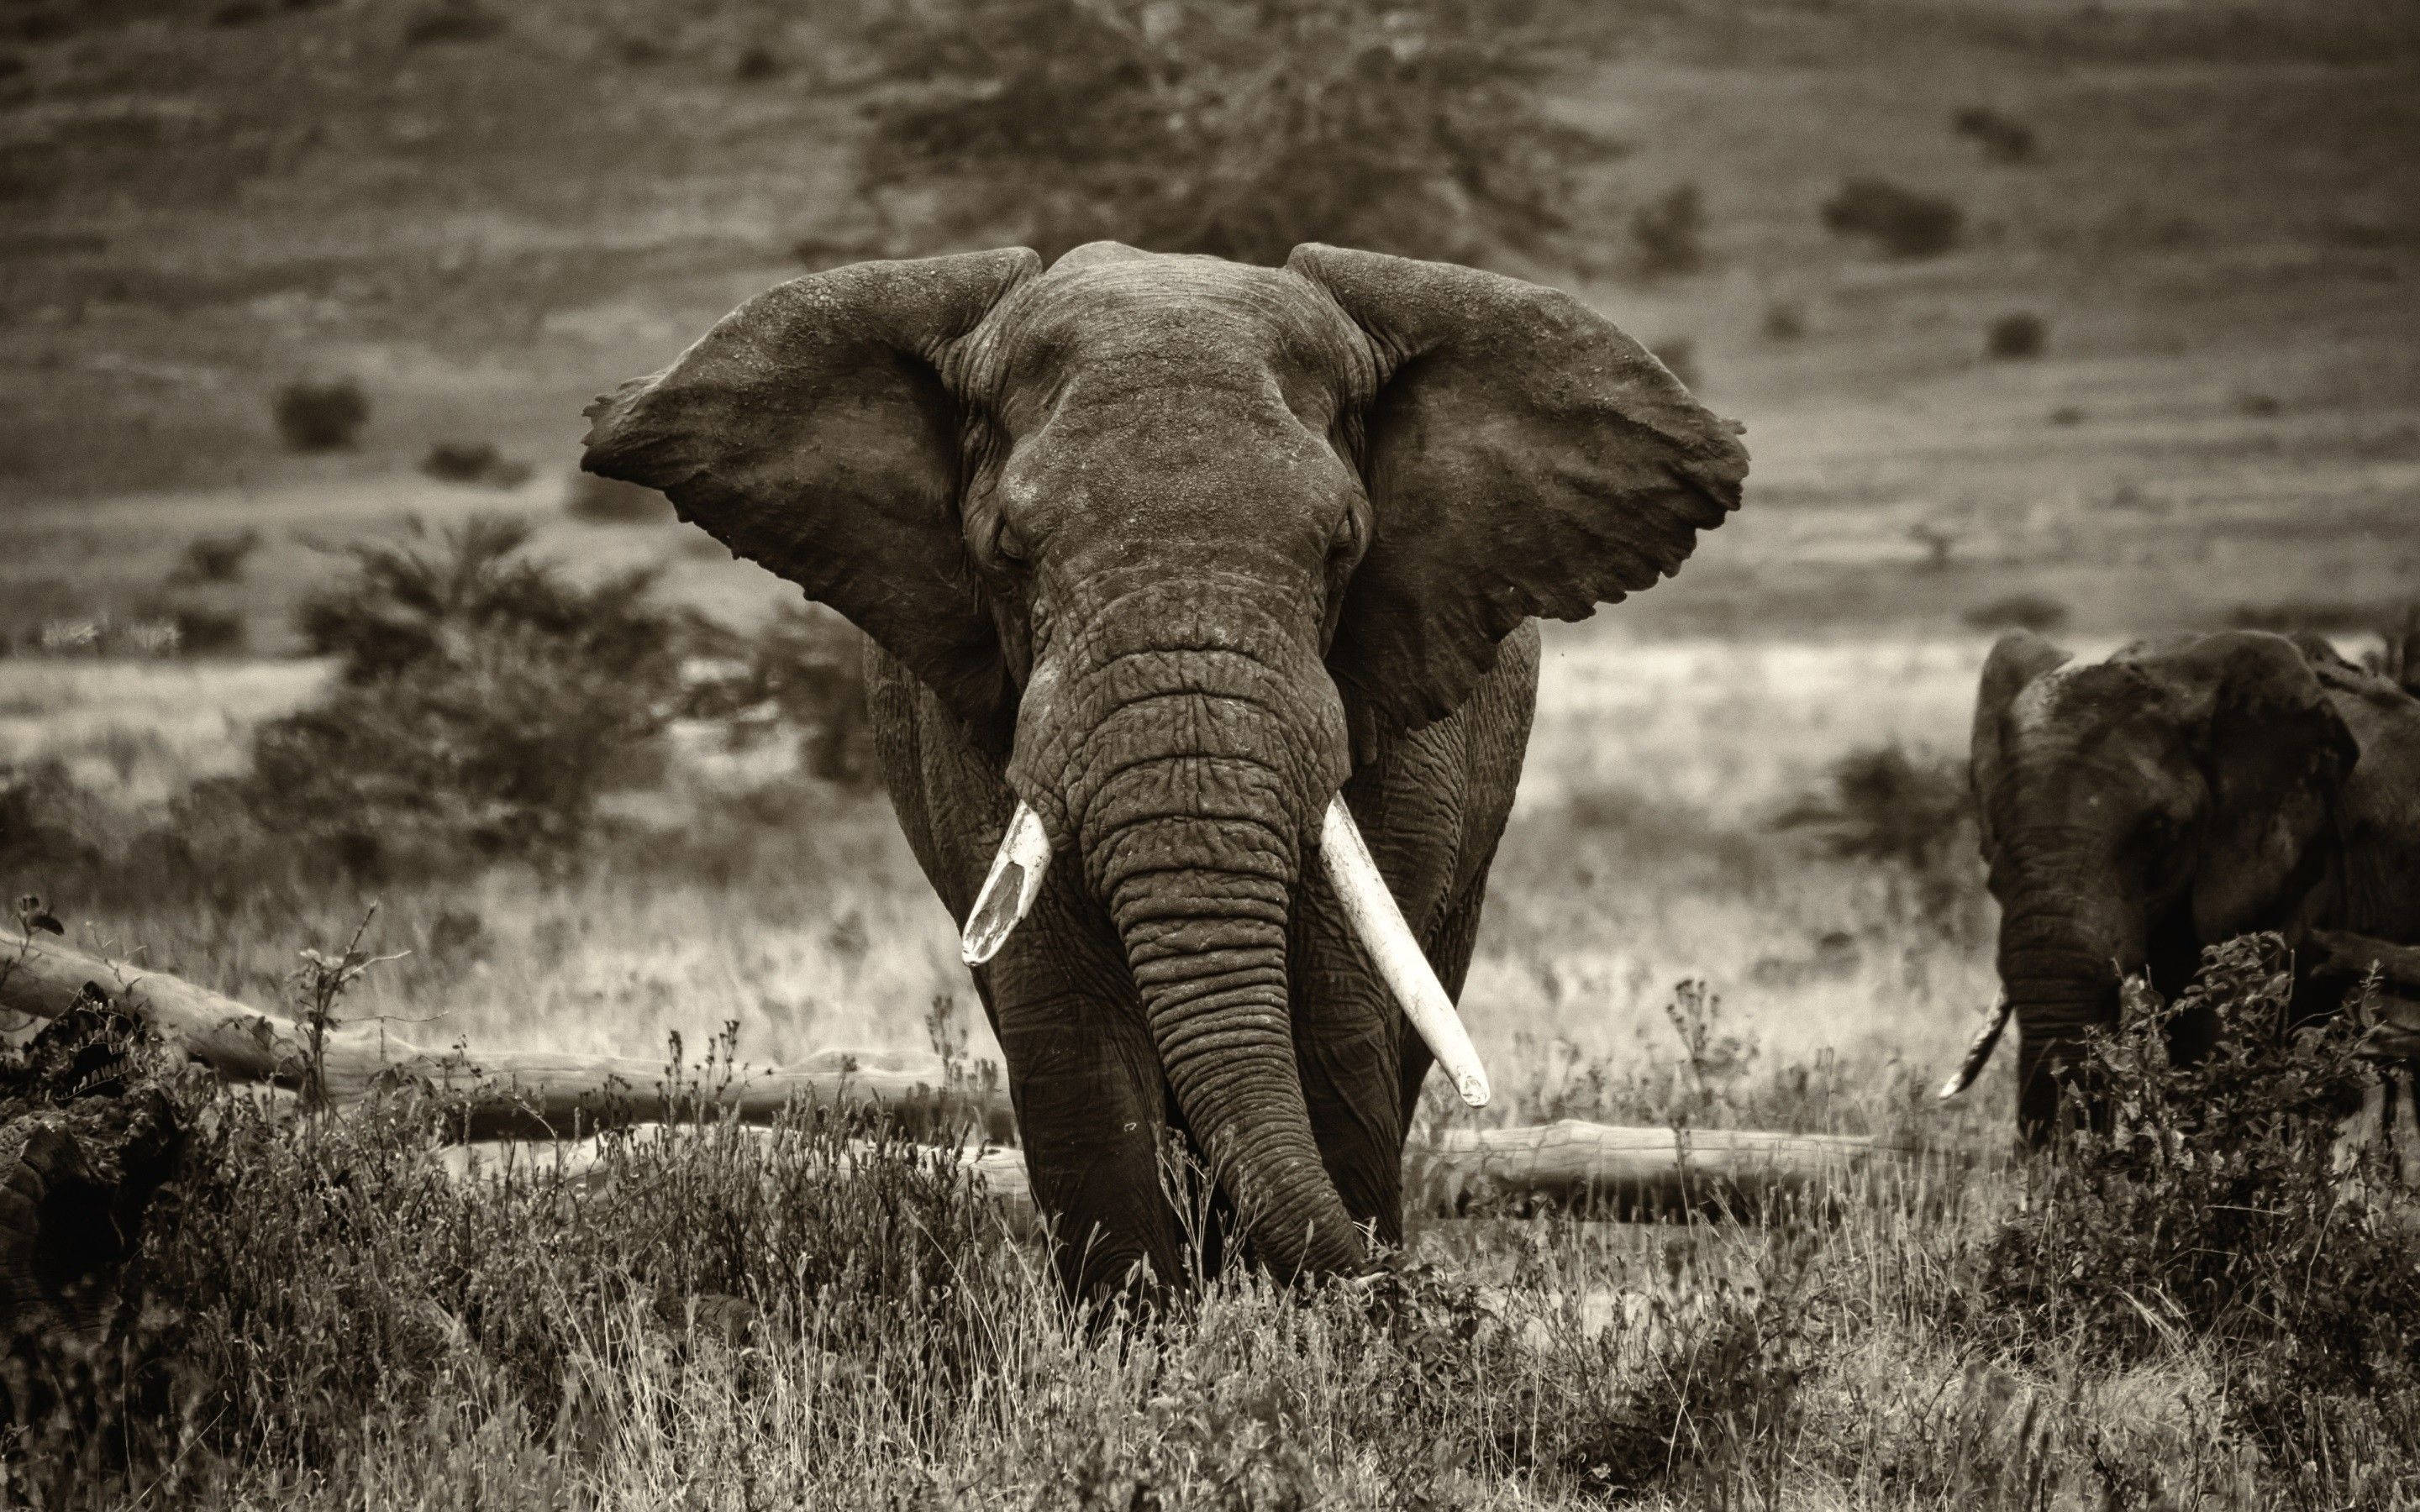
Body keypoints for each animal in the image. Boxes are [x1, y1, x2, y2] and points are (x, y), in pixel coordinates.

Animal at [579, 242, 1748, 1299]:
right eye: (1008, 551)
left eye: (1343, 546)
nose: (1434, 1298)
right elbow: (1071, 1034)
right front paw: (1142, 1355)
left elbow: (1333, 1014)